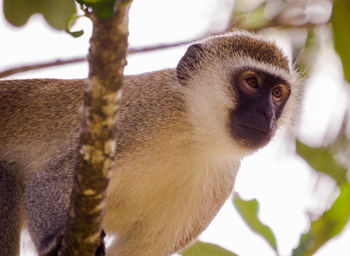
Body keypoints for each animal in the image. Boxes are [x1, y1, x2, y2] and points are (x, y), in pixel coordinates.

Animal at [0, 30, 300, 256]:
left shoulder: (218, 185)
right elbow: (52, 178)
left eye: (277, 93)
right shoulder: (137, 117)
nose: (267, 113)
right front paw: (54, 241)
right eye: (252, 82)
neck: (194, 134)